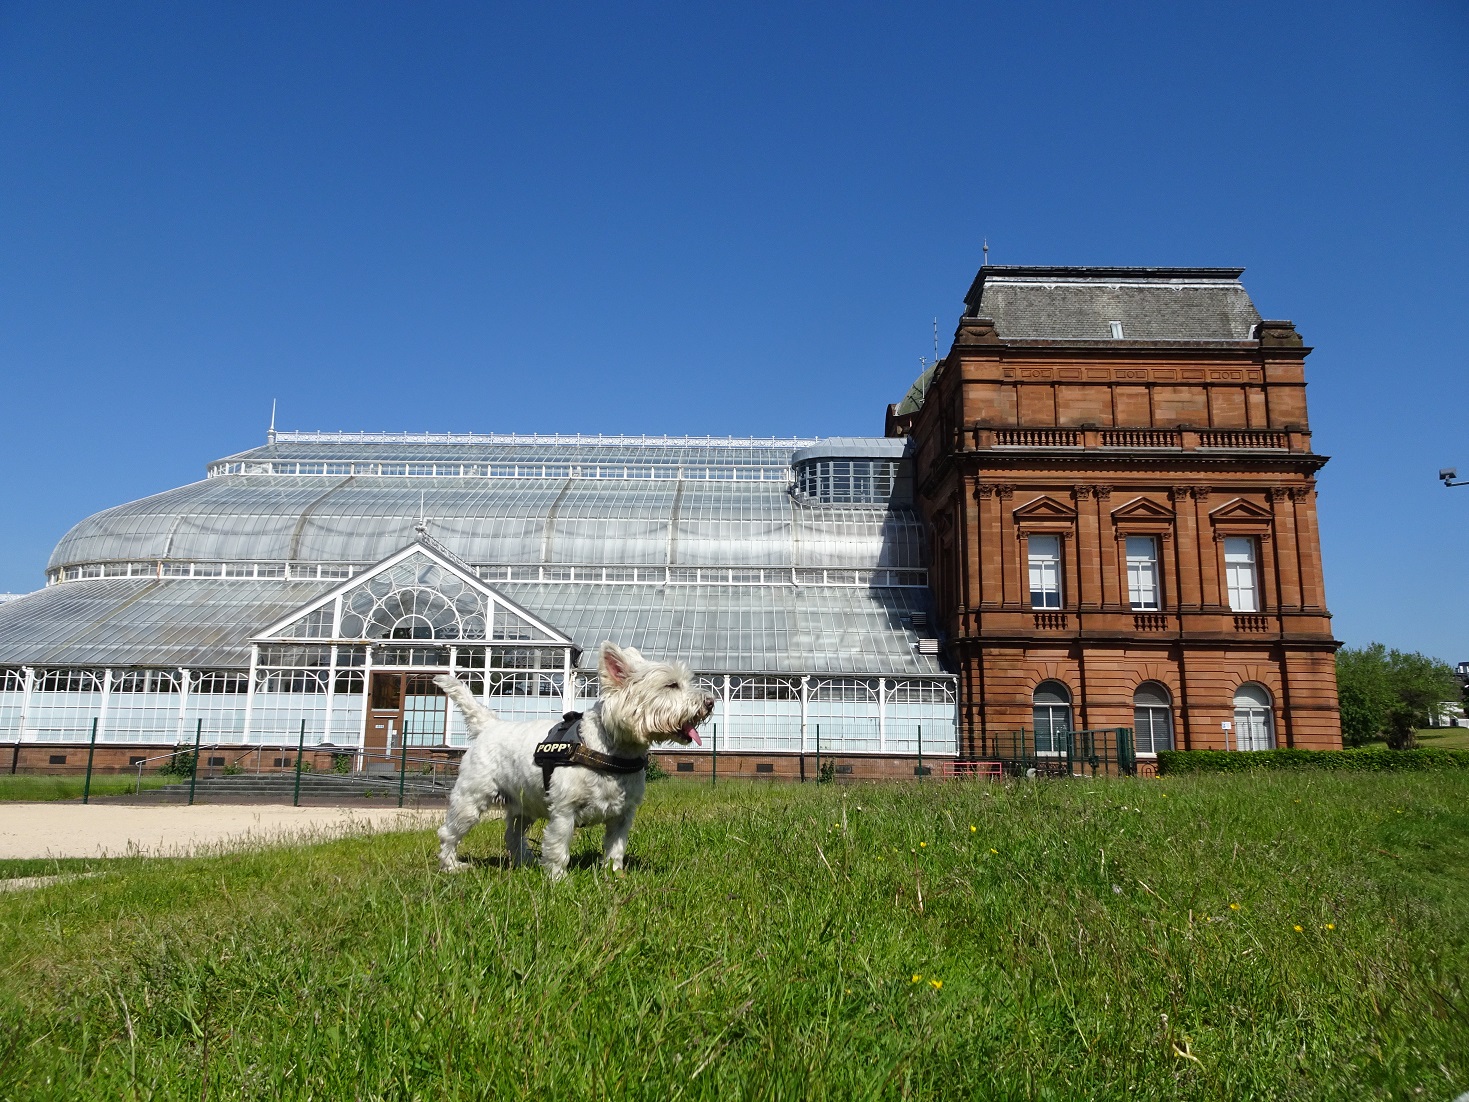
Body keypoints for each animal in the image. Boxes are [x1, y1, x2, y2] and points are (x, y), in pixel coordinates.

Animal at [431, 643, 713, 887]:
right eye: (671, 684)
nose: (710, 702)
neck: (612, 752)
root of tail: (489, 725)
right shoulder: (564, 810)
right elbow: (558, 845)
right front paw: (558, 879)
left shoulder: (623, 815)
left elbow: (616, 848)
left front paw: (615, 876)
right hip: (471, 798)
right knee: (449, 832)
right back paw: (452, 866)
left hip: (524, 804)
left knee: (513, 835)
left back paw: (527, 861)